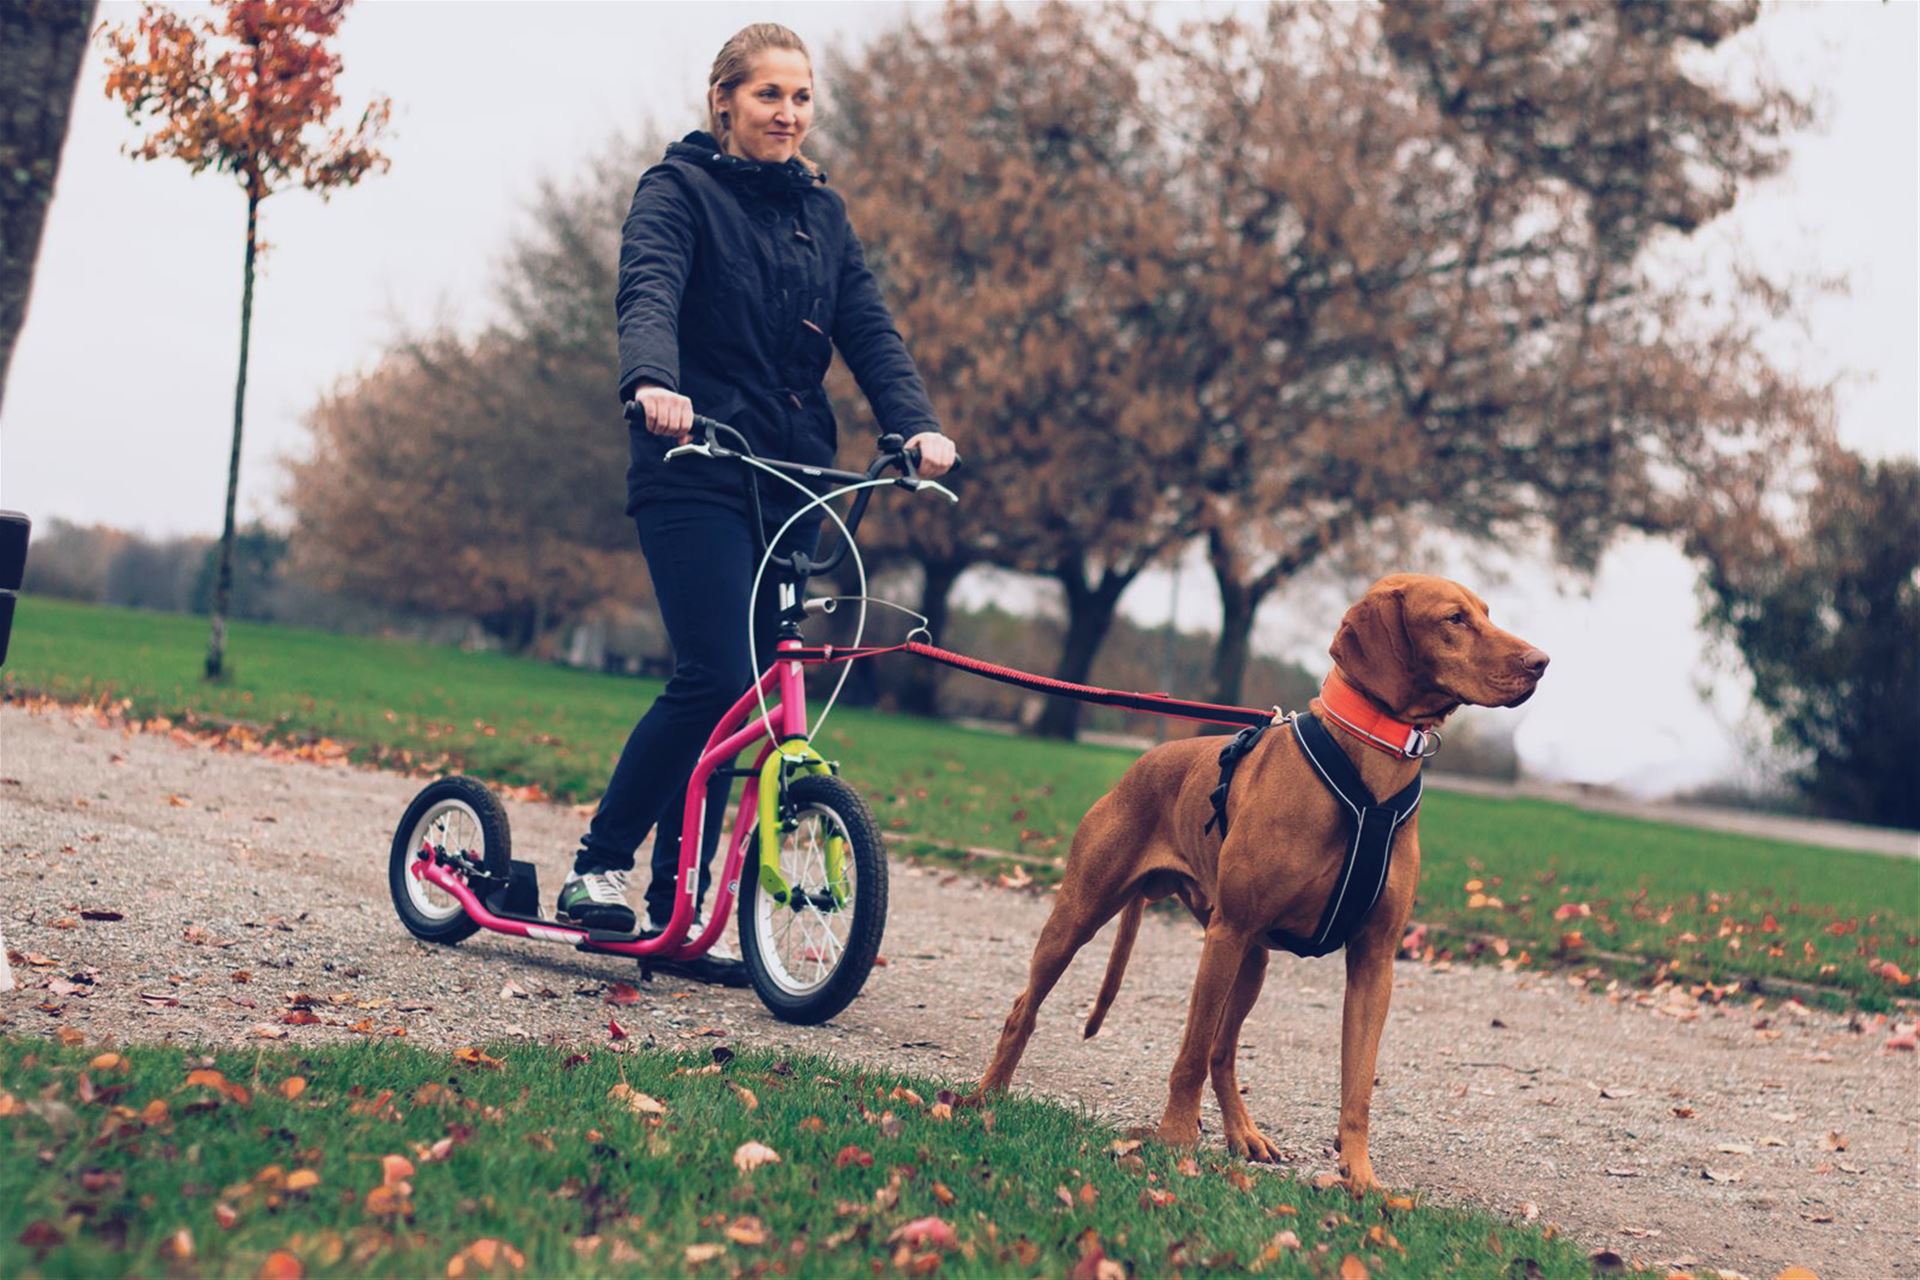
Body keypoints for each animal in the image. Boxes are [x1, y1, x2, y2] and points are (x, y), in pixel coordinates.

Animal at [983, 575, 1551, 1197]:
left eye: (1487, 613)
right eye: (1454, 618)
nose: (1541, 662)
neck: (1371, 767)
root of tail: (1143, 762)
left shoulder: (1374, 961)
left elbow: (1357, 1084)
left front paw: (1359, 1176)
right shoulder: (1227, 933)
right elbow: (1187, 1055)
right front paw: (1174, 1141)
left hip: (1251, 963)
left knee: (1223, 1052)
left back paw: (1243, 1134)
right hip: (1084, 915)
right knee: (1028, 1008)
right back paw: (989, 1097)